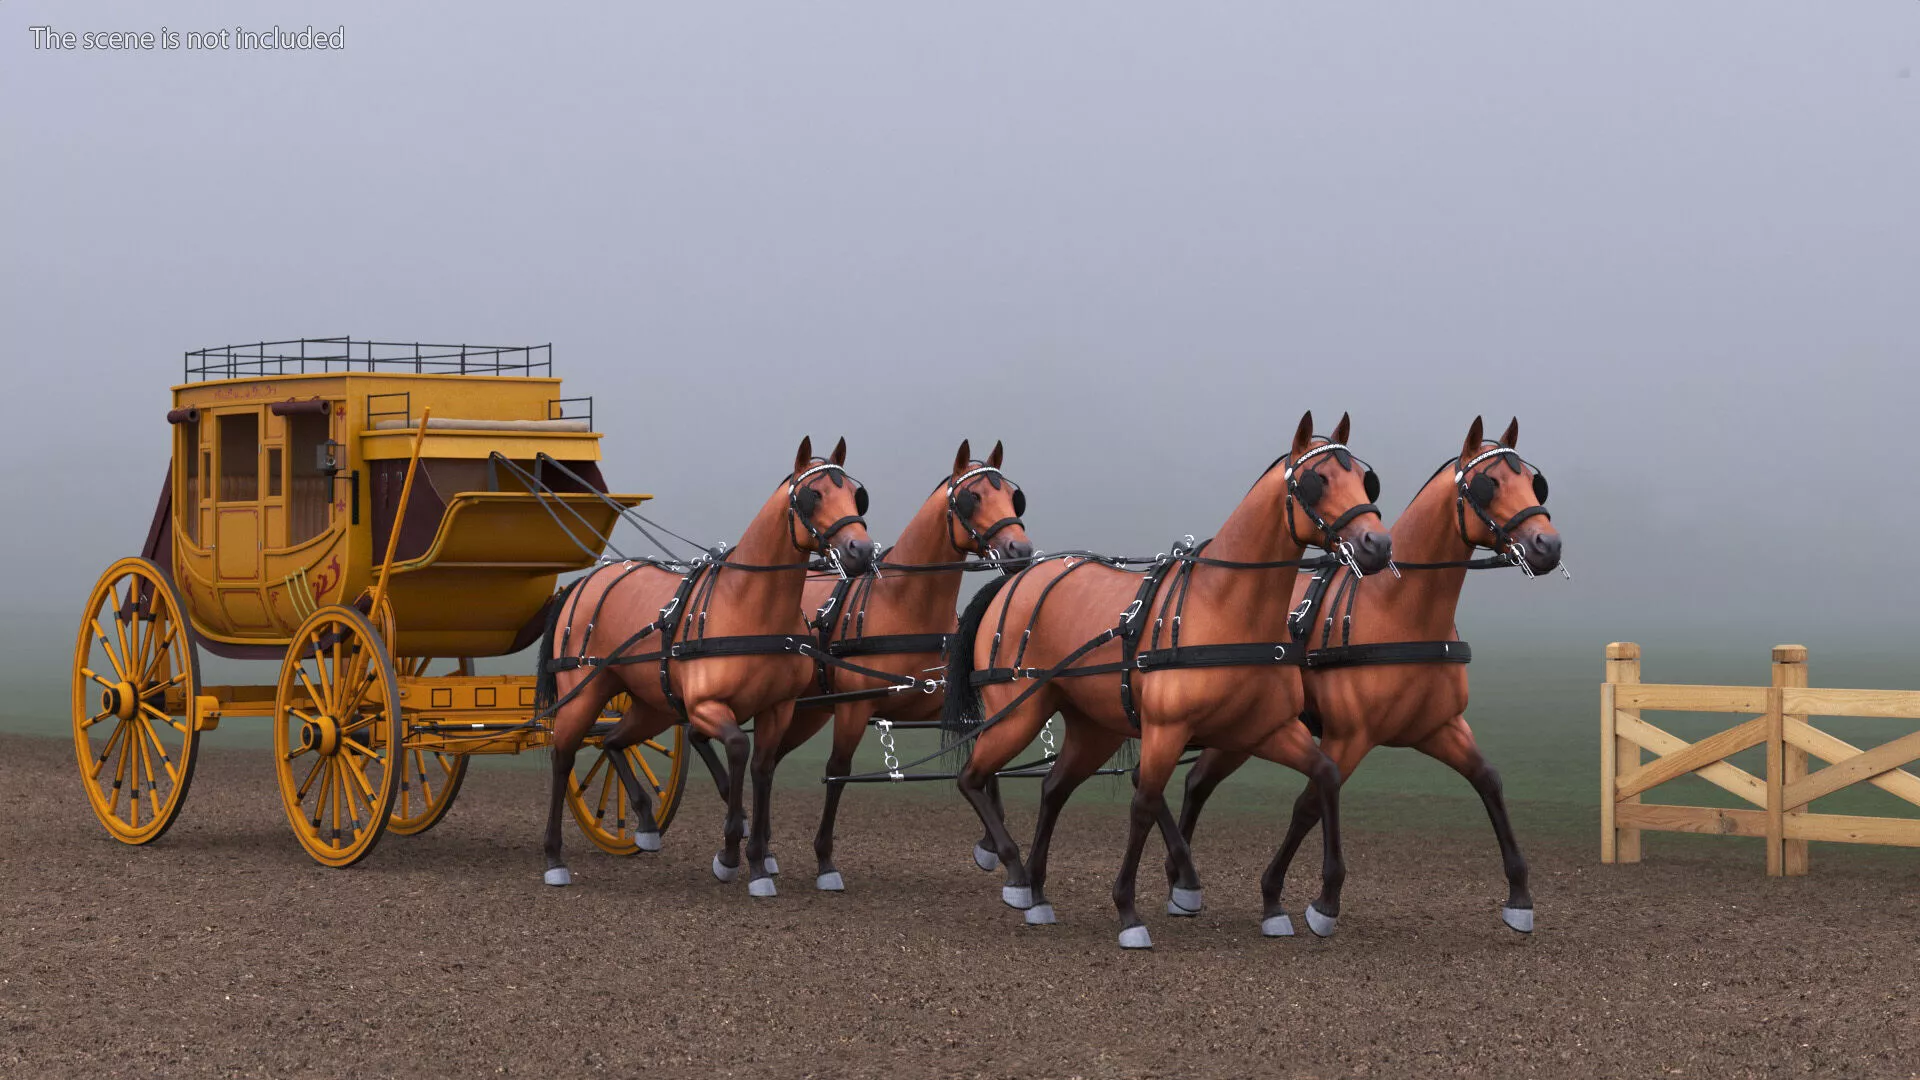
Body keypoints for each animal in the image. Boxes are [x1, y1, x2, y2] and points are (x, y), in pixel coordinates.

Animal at [533, 436, 877, 893]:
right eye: (813, 494)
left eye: (856, 495)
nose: (861, 550)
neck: (750, 607)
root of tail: (586, 581)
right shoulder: (705, 706)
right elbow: (736, 748)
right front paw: (730, 853)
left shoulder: (777, 709)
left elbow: (762, 768)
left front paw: (757, 860)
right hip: (583, 692)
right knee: (564, 757)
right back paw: (554, 857)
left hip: (652, 707)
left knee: (612, 742)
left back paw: (646, 822)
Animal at [775, 439, 1034, 893]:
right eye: (972, 498)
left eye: (1012, 496)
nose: (1019, 552)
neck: (905, 605)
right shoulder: (853, 709)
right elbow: (837, 770)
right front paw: (825, 860)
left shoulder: (952, 705)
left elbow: (989, 765)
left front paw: (989, 846)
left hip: (808, 712)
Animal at [942, 412, 1393, 948]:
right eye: (1316, 480)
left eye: (1364, 478)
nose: (1377, 544)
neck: (1226, 609)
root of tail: (1016, 578)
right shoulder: (1166, 730)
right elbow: (1144, 802)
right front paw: (1129, 911)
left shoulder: (1265, 730)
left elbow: (1324, 776)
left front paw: (1311, 904)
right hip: (1020, 713)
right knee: (972, 776)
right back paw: (1014, 873)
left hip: (1094, 727)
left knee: (1052, 788)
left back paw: (1037, 892)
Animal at [1170, 416, 1563, 934]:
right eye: (1489, 483)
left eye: (1534, 482)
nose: (1548, 545)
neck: (1398, 611)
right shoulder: (1350, 735)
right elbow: (1310, 803)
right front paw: (1313, 901)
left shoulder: (1440, 727)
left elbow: (1489, 781)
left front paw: (1519, 896)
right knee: (1197, 782)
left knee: (1197, 781)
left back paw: (1179, 877)